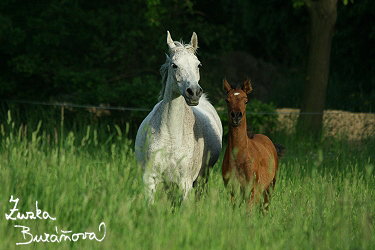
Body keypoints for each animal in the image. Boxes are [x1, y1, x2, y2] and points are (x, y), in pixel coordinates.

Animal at [136, 31, 222, 202]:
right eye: (174, 65)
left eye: (198, 65)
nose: (194, 92)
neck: (171, 136)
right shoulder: (150, 179)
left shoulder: (185, 183)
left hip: (202, 178)